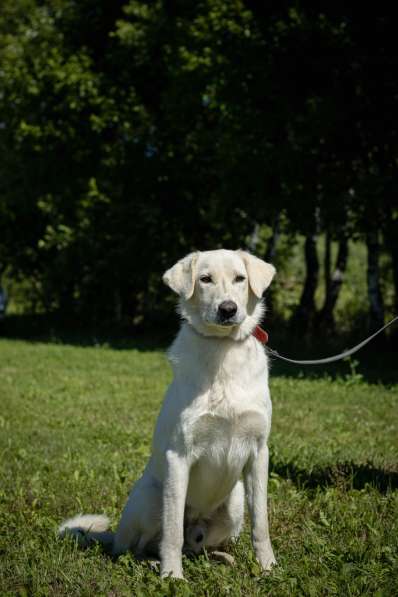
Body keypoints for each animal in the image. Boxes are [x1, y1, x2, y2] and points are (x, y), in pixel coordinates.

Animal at [59, 248, 276, 576]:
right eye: (205, 279)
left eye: (240, 278)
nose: (228, 309)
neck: (223, 351)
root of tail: (114, 535)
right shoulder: (179, 456)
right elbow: (172, 532)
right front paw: (172, 575)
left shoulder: (258, 453)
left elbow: (261, 523)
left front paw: (268, 567)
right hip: (152, 499)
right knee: (138, 547)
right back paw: (152, 562)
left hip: (235, 502)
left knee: (197, 547)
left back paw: (221, 557)